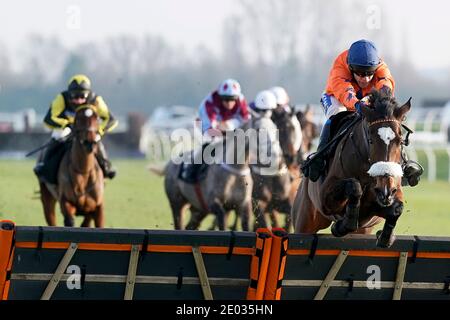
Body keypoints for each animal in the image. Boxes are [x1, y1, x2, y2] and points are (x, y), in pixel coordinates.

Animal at [292, 90, 412, 248]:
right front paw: (341, 226)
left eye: (400, 141)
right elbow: (354, 186)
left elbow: (397, 209)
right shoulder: (325, 198)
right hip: (305, 219)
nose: (385, 191)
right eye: (371, 140)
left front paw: (386, 237)